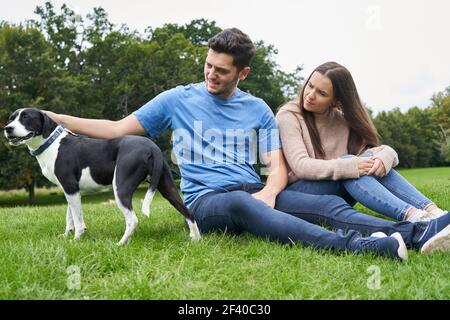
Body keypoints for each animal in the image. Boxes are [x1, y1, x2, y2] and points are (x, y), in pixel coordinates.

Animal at [3, 107, 200, 245]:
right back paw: (195, 239)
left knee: (132, 219)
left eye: (26, 117)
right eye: (11, 118)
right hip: (167, 186)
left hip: (121, 187)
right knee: (188, 212)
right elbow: (69, 216)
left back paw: (121, 243)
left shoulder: (70, 188)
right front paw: (66, 235)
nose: (7, 128)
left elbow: (77, 219)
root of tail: (152, 147)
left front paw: (76, 239)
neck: (51, 143)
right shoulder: (70, 191)